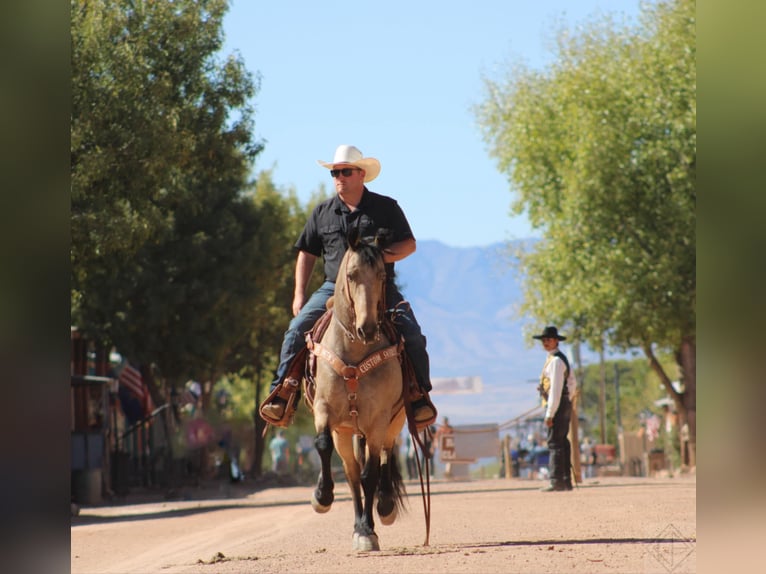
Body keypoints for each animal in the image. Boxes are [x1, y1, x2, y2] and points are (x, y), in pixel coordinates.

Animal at [304, 231, 416, 552]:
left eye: (381, 275)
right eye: (352, 275)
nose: (367, 328)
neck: (354, 353)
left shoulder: (378, 420)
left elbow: (371, 474)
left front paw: (369, 530)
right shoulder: (324, 410)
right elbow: (324, 447)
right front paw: (323, 497)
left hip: (393, 423)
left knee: (384, 458)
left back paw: (385, 507)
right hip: (346, 431)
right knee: (352, 472)